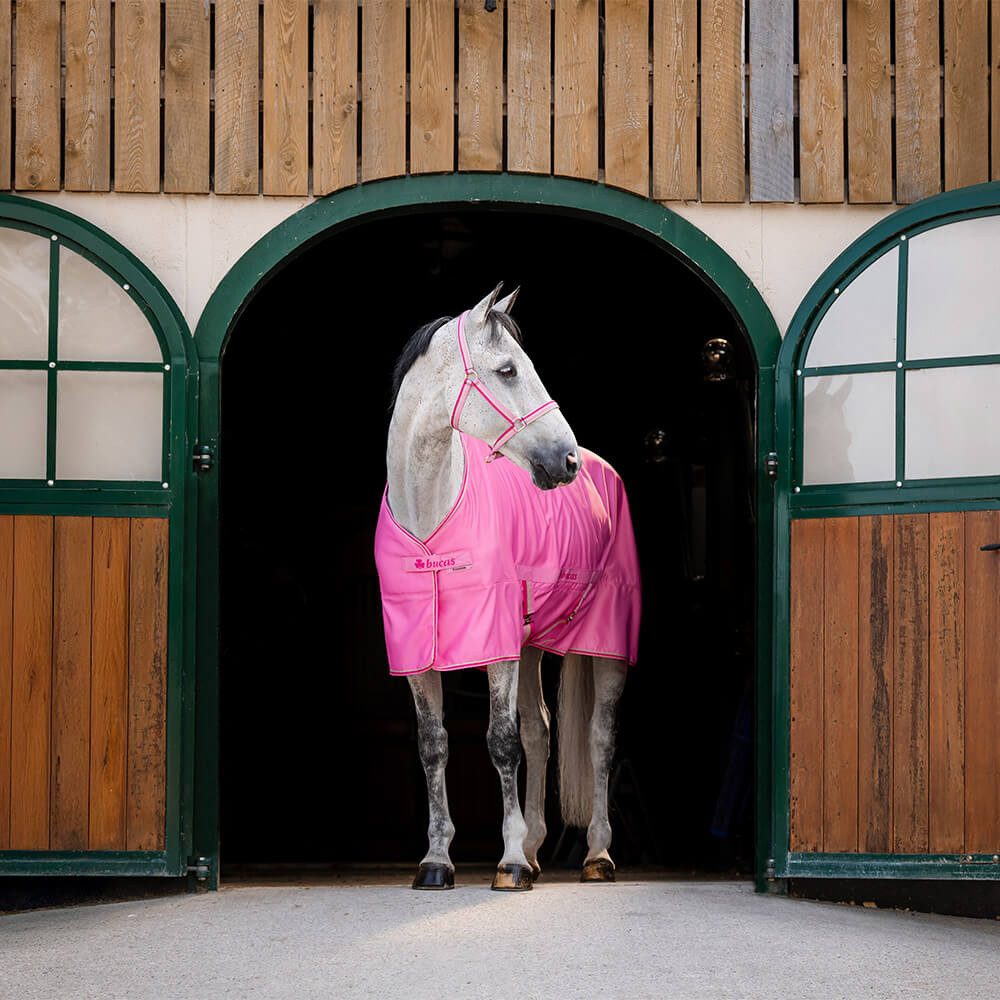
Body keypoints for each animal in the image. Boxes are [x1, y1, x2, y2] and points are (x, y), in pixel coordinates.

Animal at [375, 284, 641, 891]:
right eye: (508, 370)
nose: (565, 460)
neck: (431, 515)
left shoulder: (495, 645)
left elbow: (500, 742)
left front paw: (511, 860)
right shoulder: (418, 653)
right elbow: (433, 745)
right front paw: (436, 861)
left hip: (606, 646)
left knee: (598, 738)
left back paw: (596, 854)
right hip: (530, 645)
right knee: (540, 731)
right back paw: (542, 846)